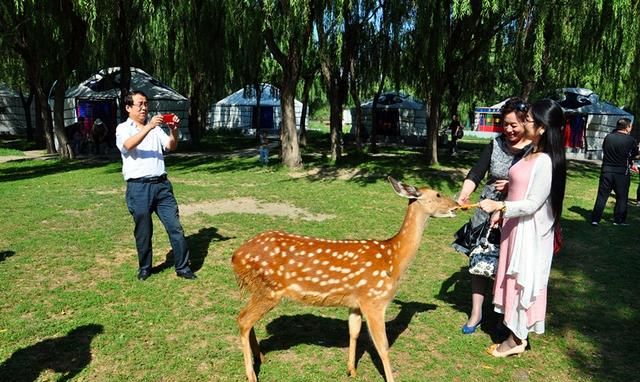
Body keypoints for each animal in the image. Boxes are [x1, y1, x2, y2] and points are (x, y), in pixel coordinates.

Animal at [232, 177, 458, 382]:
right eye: (438, 194)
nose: (456, 205)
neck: (392, 260)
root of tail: (235, 256)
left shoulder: (355, 302)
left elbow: (354, 332)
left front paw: (351, 370)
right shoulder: (374, 299)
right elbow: (383, 346)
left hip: (260, 290)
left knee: (247, 319)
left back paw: (261, 358)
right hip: (268, 289)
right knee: (243, 320)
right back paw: (251, 374)